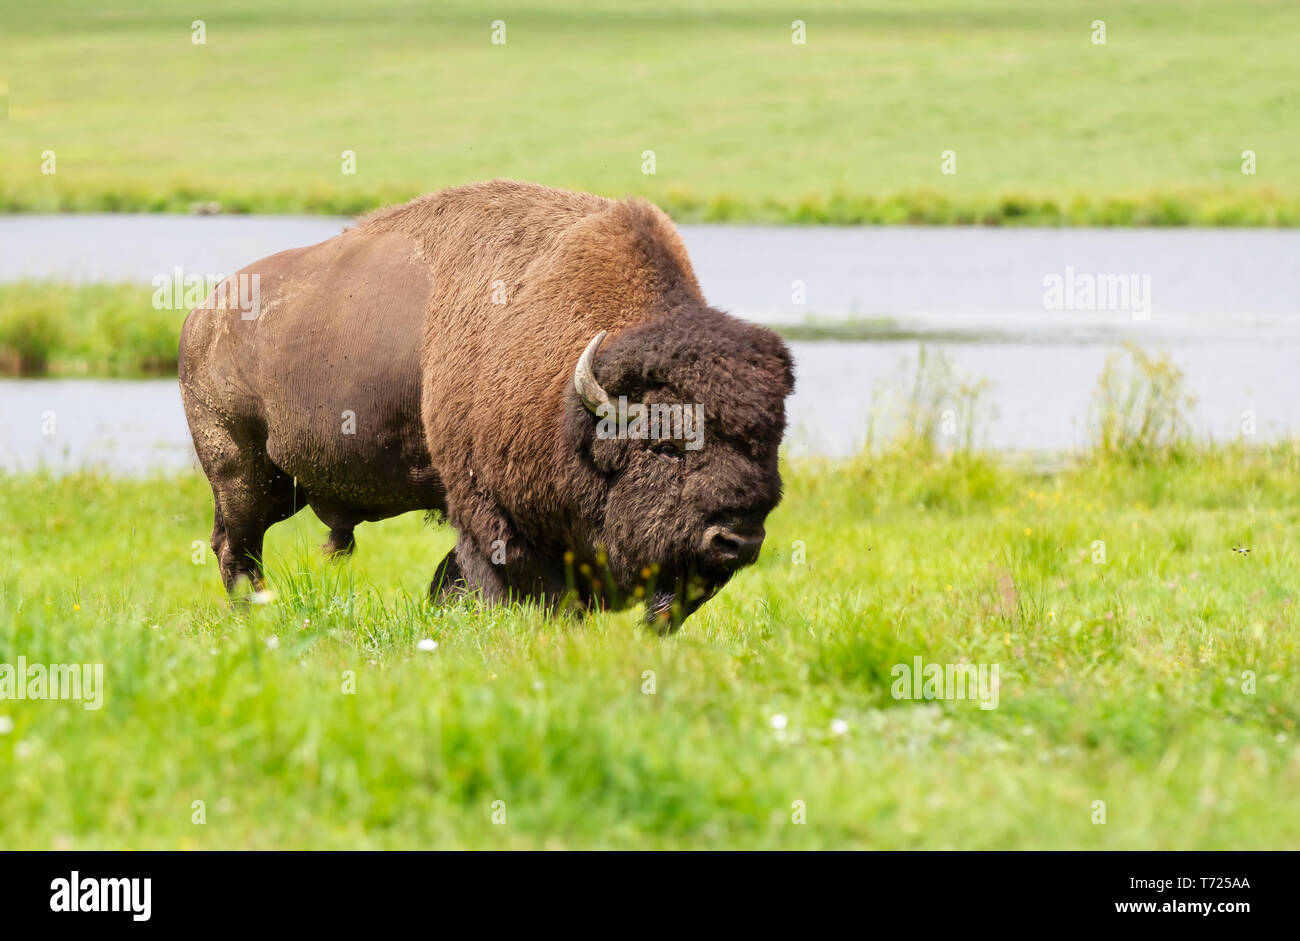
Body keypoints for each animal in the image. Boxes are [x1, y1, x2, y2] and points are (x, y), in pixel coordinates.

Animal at [179, 180, 795, 629]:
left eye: (769, 442)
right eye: (666, 443)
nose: (737, 539)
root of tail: (202, 316)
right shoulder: (488, 505)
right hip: (243, 473)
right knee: (237, 547)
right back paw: (255, 614)